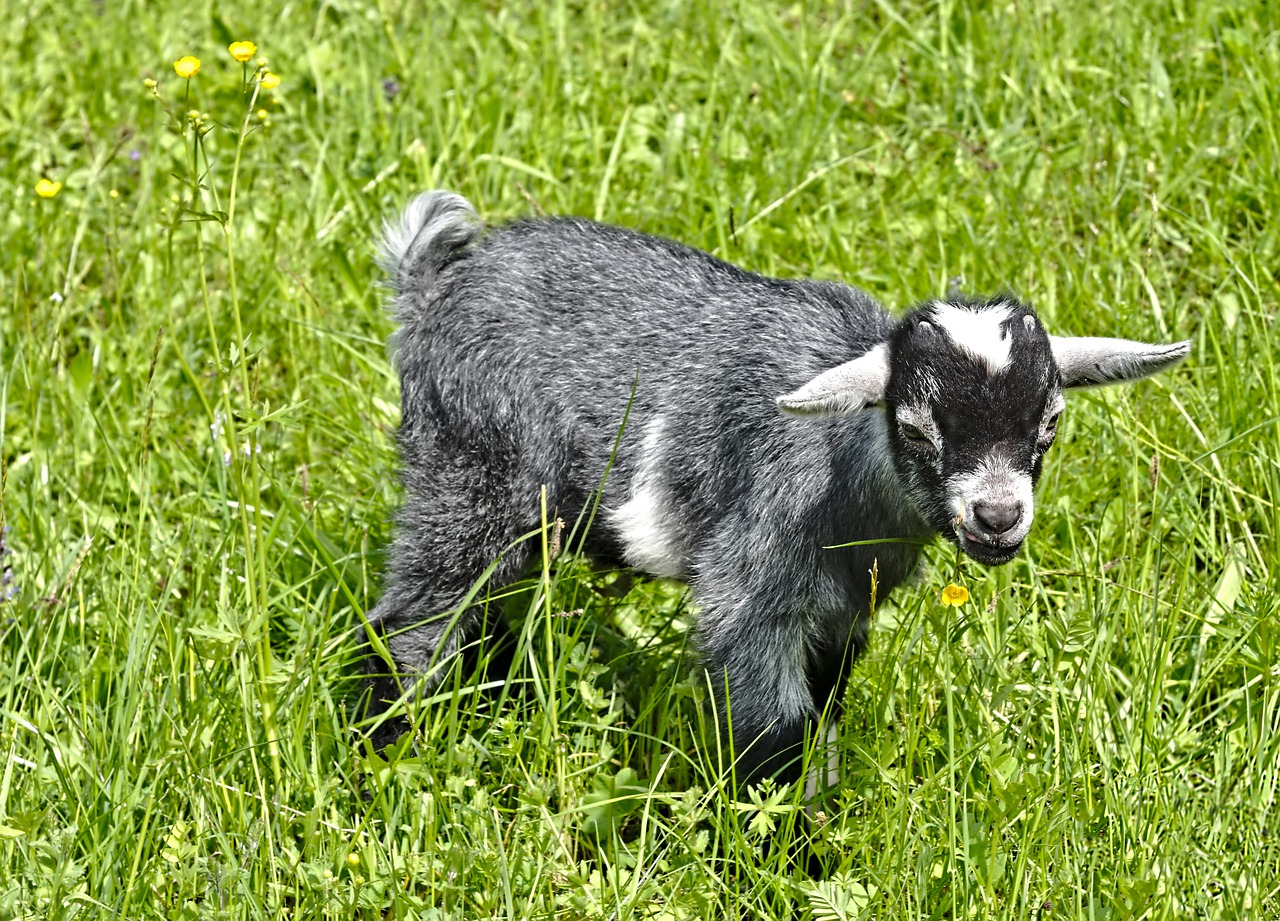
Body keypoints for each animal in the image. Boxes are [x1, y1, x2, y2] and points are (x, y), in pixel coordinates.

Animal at [368, 190, 1187, 787]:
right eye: (917, 427)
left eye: (1049, 422)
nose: (998, 515)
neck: (848, 466)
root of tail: (432, 287)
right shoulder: (753, 592)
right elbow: (773, 730)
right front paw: (787, 854)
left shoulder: (843, 610)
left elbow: (823, 712)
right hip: (470, 468)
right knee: (415, 617)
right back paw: (392, 746)